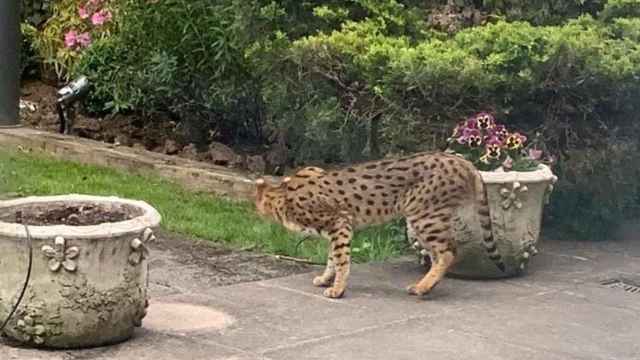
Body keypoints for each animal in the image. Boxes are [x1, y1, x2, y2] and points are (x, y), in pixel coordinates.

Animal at [255, 152, 504, 298]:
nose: (257, 213)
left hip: (423, 216)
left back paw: (423, 287)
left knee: (448, 252)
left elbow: (341, 260)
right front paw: (326, 279)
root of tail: (462, 160)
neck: (283, 195)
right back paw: (427, 285)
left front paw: (337, 288)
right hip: (425, 219)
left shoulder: (340, 223)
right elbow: (332, 258)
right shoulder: (335, 229)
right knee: (439, 254)